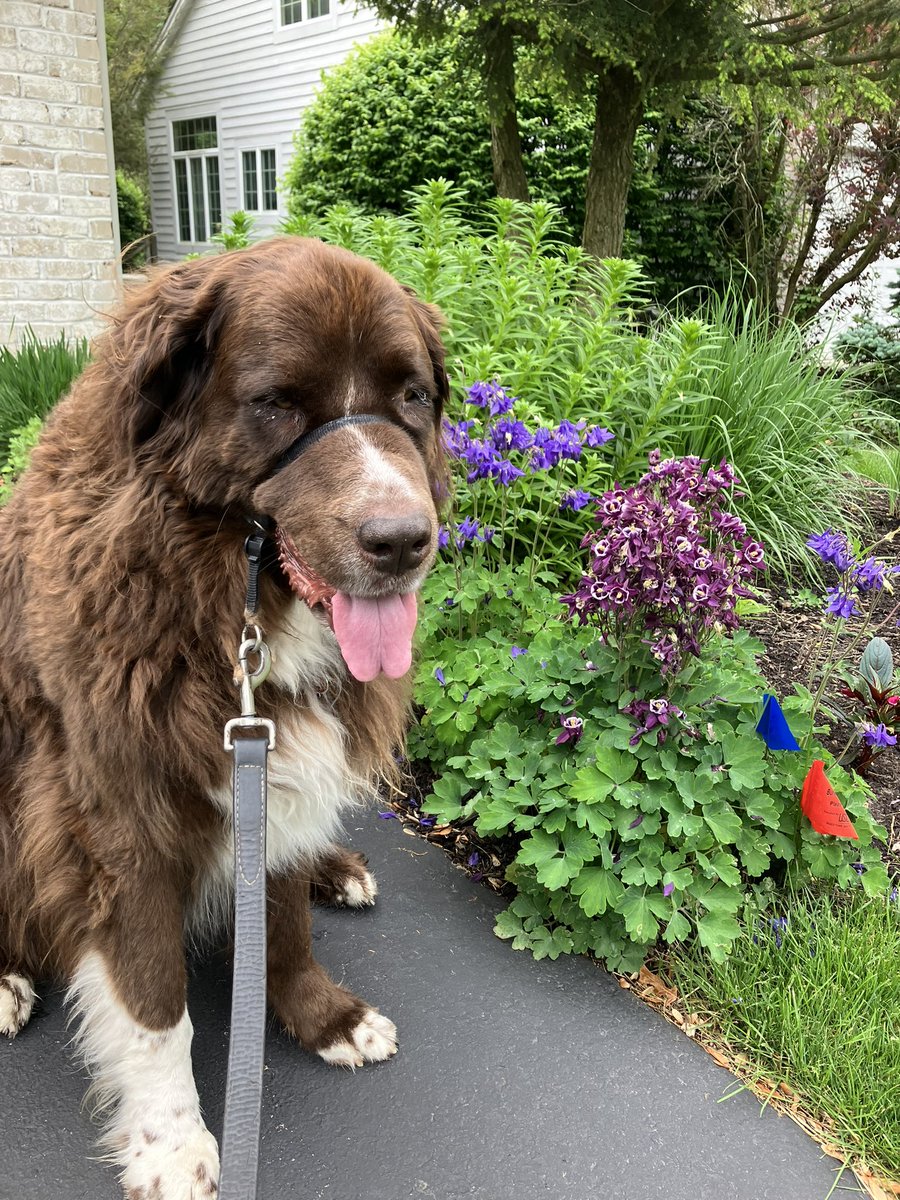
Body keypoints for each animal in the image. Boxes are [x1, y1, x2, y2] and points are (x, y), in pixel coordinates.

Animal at [0, 236, 448, 1200]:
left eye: (412, 398)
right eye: (276, 403)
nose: (403, 541)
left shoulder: (276, 770)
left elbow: (281, 921)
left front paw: (322, 1016)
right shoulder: (117, 818)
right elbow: (153, 1003)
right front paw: (173, 1143)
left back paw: (338, 869)